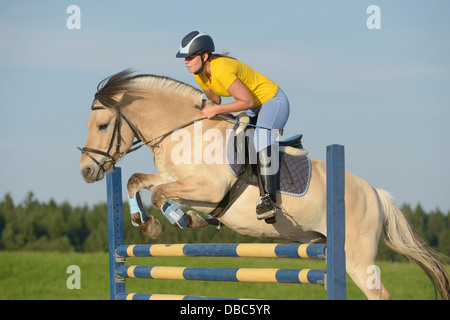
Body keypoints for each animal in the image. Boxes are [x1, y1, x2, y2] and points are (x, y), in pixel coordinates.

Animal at [80, 69, 450, 300]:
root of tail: (375, 193)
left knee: (378, 292)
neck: (185, 130)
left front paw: (183, 220)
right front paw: (149, 224)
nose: (86, 171)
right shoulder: (177, 180)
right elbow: (137, 182)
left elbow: (159, 194)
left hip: (356, 258)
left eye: (102, 125)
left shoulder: (207, 189)